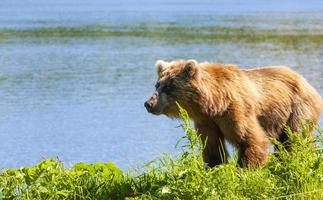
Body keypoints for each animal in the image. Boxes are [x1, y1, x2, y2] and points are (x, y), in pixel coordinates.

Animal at [145, 59, 323, 167]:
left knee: (295, 140)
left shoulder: (236, 111)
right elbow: (212, 147)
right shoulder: (207, 121)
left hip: (298, 109)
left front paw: (242, 172)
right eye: (157, 84)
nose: (149, 103)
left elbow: (251, 140)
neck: (214, 102)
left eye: (169, 86)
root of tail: (308, 83)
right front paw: (214, 168)